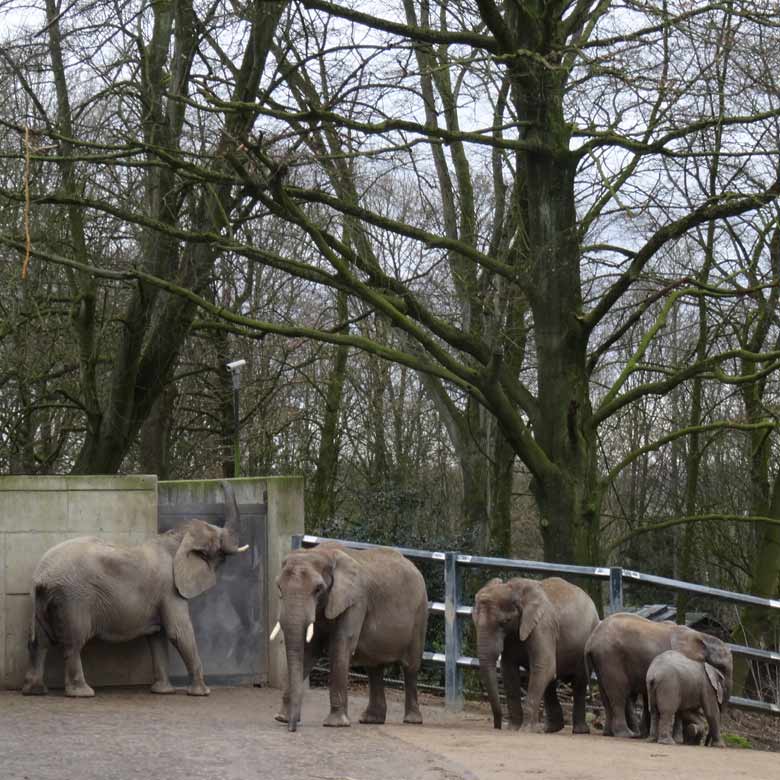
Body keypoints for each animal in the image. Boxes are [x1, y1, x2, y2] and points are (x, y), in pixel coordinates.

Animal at [20, 482, 247, 696]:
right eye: (218, 541)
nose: (220, 482)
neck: (177, 538)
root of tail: (40, 576)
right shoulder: (170, 589)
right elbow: (179, 632)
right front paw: (202, 693)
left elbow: (158, 638)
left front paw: (163, 691)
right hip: (72, 598)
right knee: (73, 641)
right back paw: (82, 693)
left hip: (47, 600)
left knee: (40, 642)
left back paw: (35, 691)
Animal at [268, 544, 426, 732]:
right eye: (279, 587)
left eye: (318, 589)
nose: (292, 729)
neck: (323, 553)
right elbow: (309, 651)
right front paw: (281, 718)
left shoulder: (355, 601)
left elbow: (340, 645)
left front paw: (335, 724)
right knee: (374, 667)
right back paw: (371, 719)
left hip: (420, 613)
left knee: (410, 666)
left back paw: (412, 720)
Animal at [470, 576, 604, 736]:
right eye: (474, 621)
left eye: (504, 622)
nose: (497, 727)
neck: (513, 589)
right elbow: (508, 671)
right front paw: (513, 728)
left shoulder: (543, 626)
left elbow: (543, 666)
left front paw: (525, 730)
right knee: (550, 682)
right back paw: (550, 729)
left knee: (579, 682)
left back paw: (579, 731)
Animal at [584, 616, 732, 736]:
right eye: (723, 668)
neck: (702, 637)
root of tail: (591, 640)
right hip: (611, 658)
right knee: (618, 694)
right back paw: (626, 734)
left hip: (601, 661)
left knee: (605, 695)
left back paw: (609, 733)